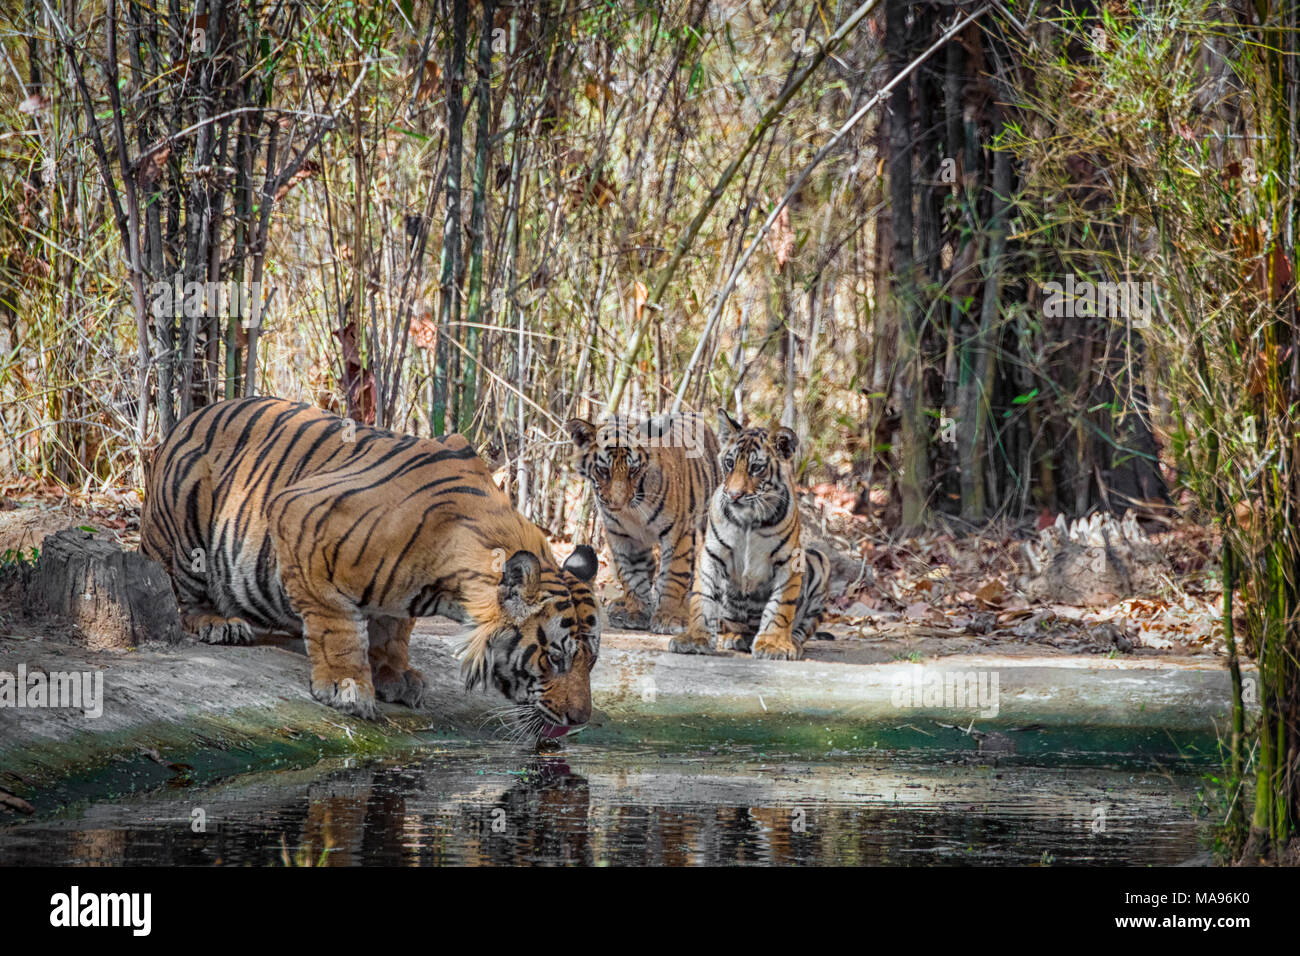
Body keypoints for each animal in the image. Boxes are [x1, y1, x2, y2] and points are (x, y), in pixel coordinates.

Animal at [140, 396, 602, 739]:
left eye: (592, 661)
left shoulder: (400, 595)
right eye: (554, 659)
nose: (580, 721)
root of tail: (182, 424)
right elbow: (337, 623)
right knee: (188, 596)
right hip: (187, 520)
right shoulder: (298, 514)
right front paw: (347, 686)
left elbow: (392, 629)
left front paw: (393, 674)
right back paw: (220, 623)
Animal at [565, 412, 720, 634]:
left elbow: (674, 573)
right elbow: (632, 575)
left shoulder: (679, 532)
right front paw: (636, 611)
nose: (617, 503)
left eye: (633, 470)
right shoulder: (621, 536)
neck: (632, 512)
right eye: (603, 470)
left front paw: (669, 616)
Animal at [669, 408, 829, 661]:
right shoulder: (710, 555)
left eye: (756, 468)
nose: (734, 495)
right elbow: (702, 599)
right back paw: (734, 637)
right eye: (729, 463)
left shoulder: (789, 561)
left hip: (820, 559)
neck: (749, 520)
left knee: (802, 629)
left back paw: (792, 644)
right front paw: (694, 638)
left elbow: (780, 607)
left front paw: (773, 644)